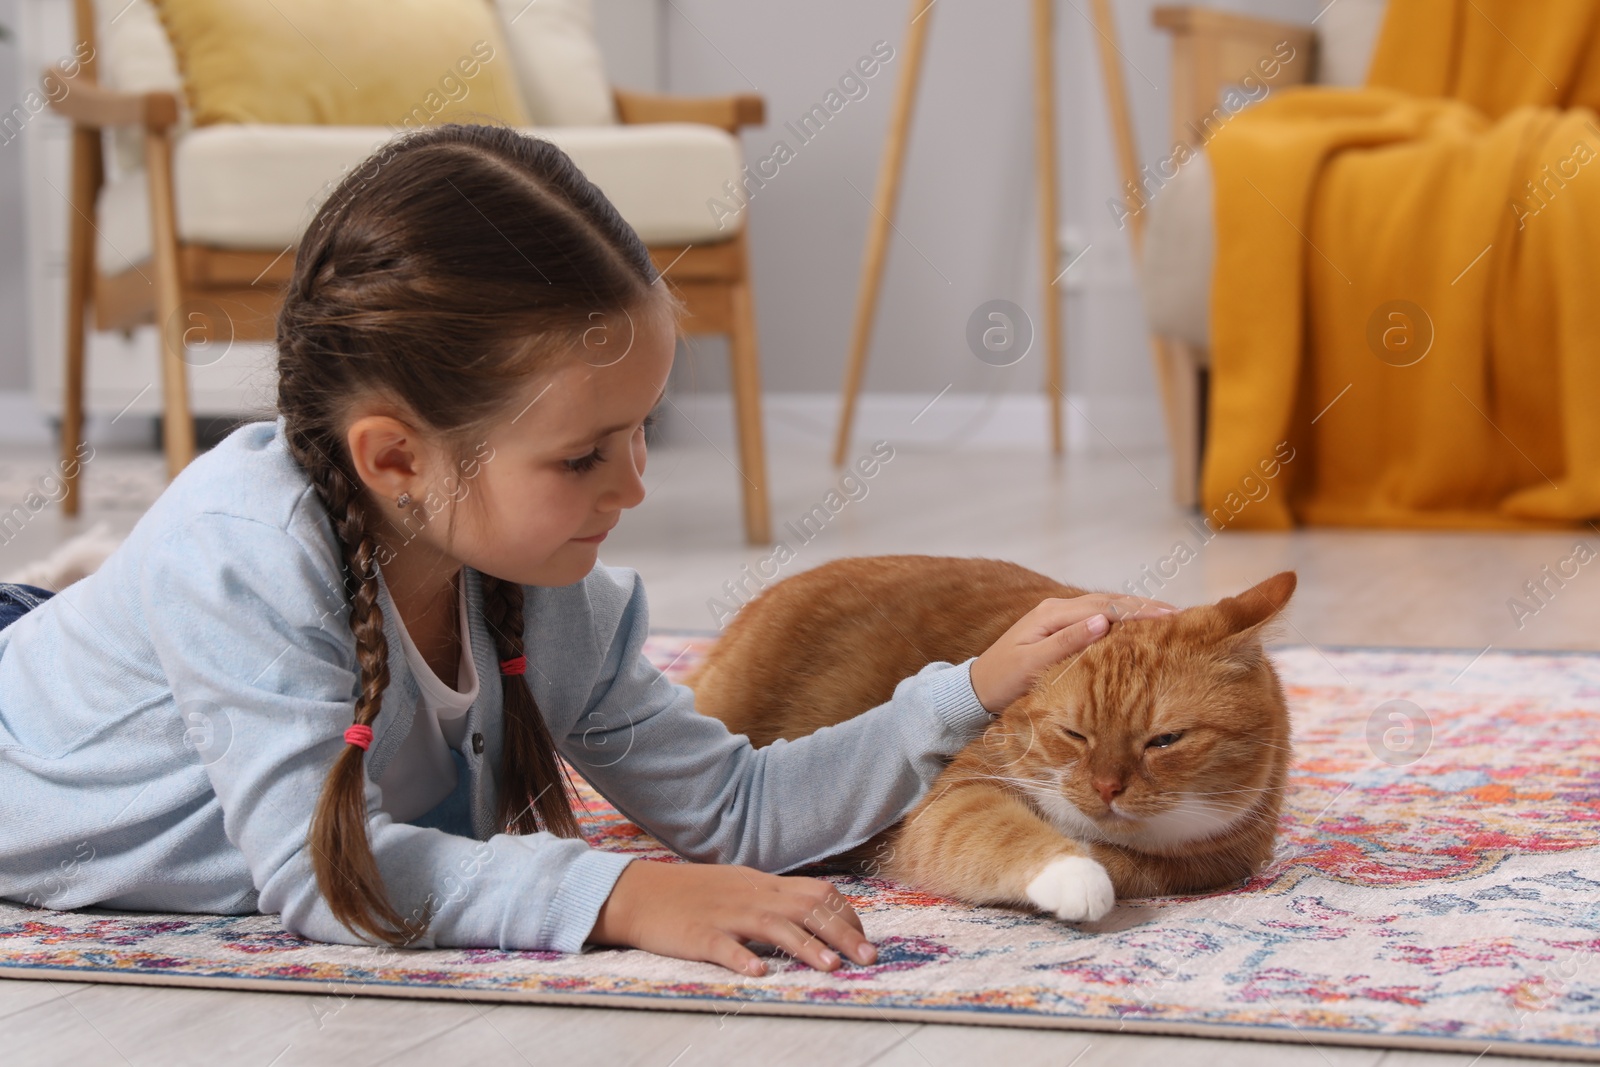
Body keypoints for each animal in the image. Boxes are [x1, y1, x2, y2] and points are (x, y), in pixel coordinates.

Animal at [688, 559, 1299, 927]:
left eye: (1165, 740)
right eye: (1074, 734)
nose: (1105, 787)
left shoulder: (1213, 861)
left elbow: (1134, 865)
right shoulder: (956, 796)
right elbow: (1001, 830)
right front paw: (1075, 874)